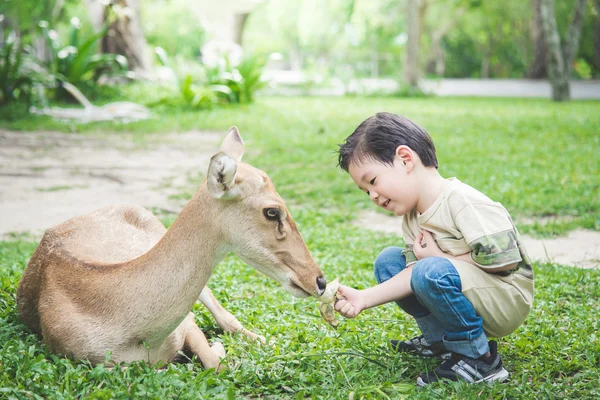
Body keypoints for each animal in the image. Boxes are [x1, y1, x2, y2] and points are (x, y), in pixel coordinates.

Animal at [17, 126, 328, 370]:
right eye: (272, 212)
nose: (319, 281)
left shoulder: (187, 323)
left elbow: (212, 358)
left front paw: (220, 348)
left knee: (226, 317)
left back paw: (269, 340)